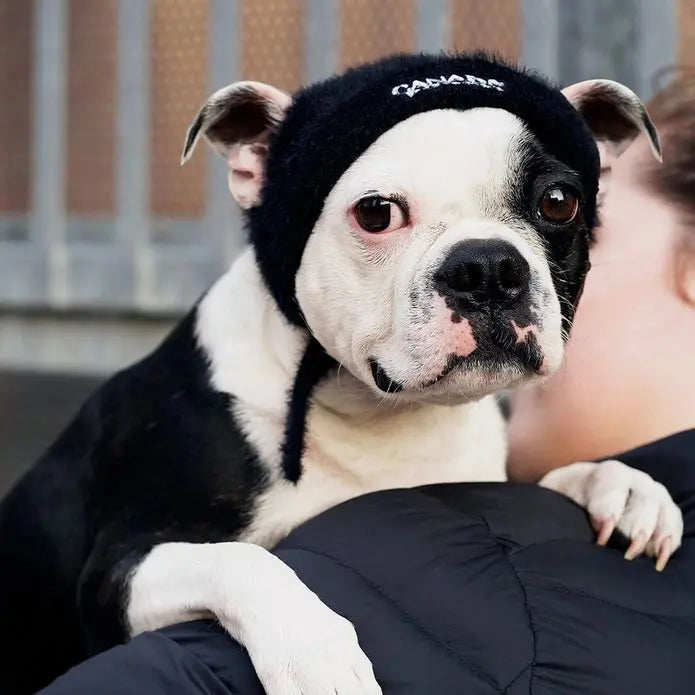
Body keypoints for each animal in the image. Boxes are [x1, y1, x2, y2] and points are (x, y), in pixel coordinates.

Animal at [0, 55, 684, 695]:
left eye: (559, 202)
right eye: (377, 213)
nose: (487, 267)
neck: (379, 419)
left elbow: (549, 479)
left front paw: (620, 486)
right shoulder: (116, 573)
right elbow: (243, 561)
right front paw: (313, 651)